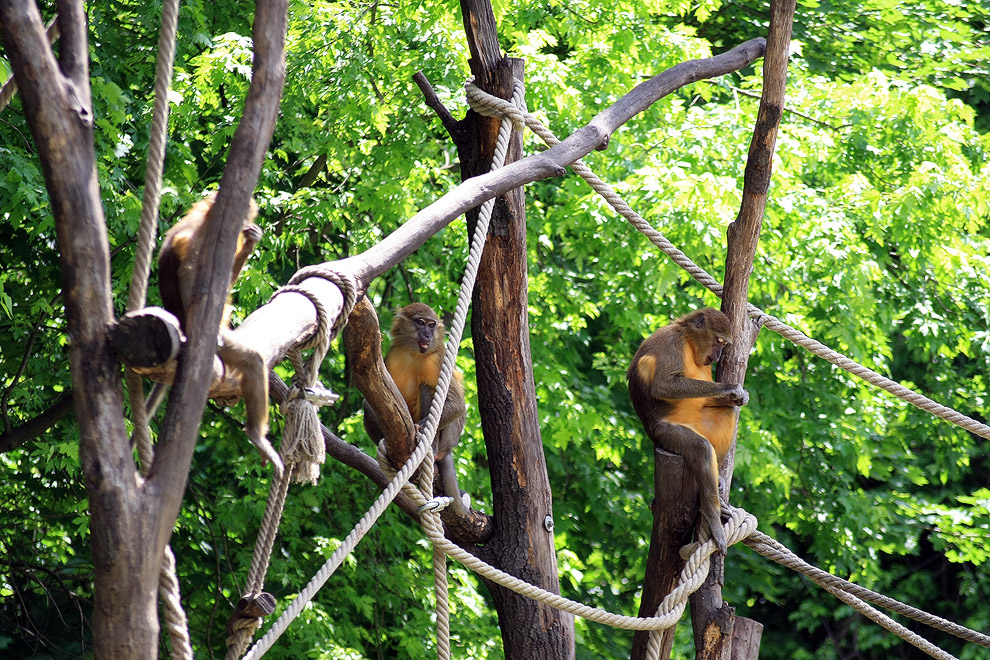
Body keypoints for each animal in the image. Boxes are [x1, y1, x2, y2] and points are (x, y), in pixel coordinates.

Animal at [155, 191, 284, 474]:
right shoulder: (201, 236)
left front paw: (250, 242)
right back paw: (256, 434)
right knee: (252, 361)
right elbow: (189, 274)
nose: (244, 225)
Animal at [364, 302, 472, 516]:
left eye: (431, 325)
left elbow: (457, 405)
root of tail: (449, 449)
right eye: (420, 322)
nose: (428, 335)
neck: (414, 352)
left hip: (449, 436)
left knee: (427, 388)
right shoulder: (394, 353)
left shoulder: (438, 359)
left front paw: (421, 427)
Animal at [628, 306, 752, 556]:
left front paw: (738, 396)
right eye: (719, 341)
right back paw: (712, 515)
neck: (688, 340)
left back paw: (718, 479)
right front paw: (732, 388)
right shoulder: (673, 343)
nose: (717, 355)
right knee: (701, 448)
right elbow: (664, 386)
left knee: (727, 414)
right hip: (665, 432)